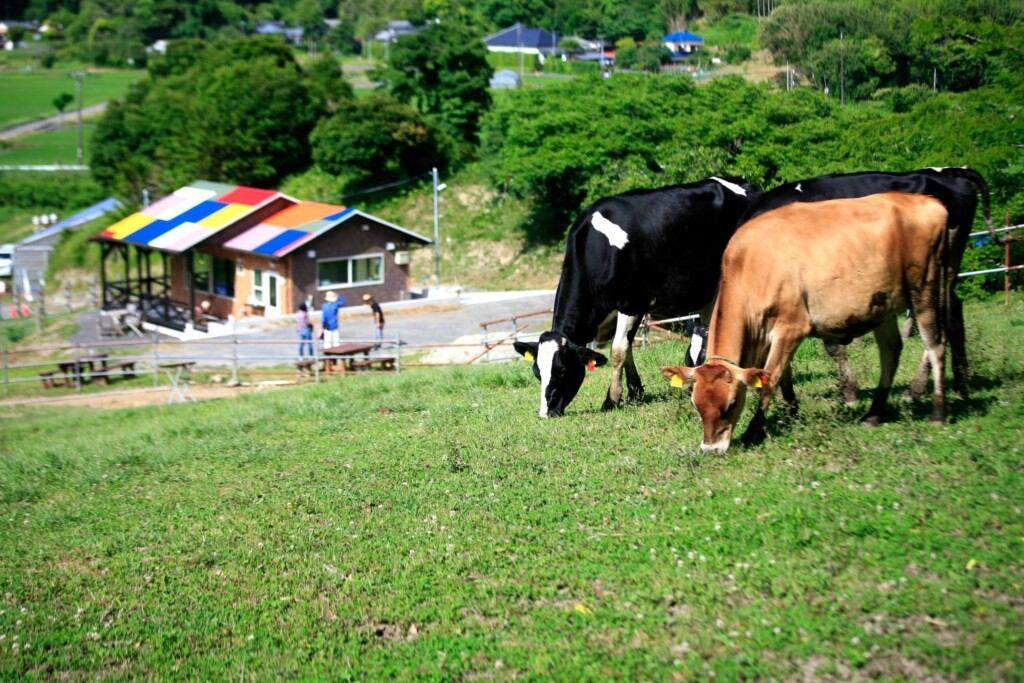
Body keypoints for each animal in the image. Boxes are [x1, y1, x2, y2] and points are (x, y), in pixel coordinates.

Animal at [512, 176, 761, 417]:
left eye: (562, 371)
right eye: (537, 372)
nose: (545, 413)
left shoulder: (632, 303)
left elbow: (618, 351)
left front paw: (611, 400)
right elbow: (628, 347)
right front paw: (635, 393)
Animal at [663, 191, 950, 454]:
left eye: (731, 404)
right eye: (696, 404)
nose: (711, 448)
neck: (753, 263)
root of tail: (929, 201)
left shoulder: (791, 328)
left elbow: (771, 379)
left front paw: (755, 429)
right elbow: (781, 375)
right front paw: (791, 411)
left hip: (926, 287)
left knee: (935, 345)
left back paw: (938, 411)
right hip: (883, 304)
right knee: (890, 351)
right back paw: (874, 413)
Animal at [688, 166, 991, 401]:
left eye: (705, 357)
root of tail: (950, 172)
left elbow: (831, 347)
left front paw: (848, 392)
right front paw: (789, 401)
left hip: (935, 271)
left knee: (942, 318)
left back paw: (917, 388)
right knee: (953, 313)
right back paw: (961, 384)